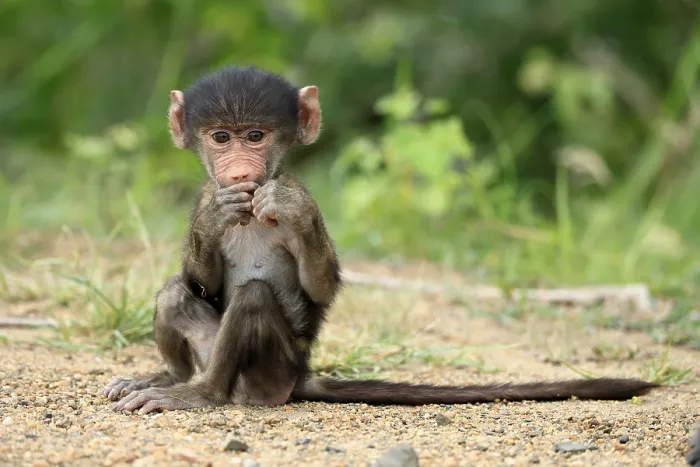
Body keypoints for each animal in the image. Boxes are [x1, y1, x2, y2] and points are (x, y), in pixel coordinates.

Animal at [99, 65, 659, 415]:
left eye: (255, 136)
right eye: (221, 137)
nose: (239, 172)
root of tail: (302, 375)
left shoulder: (300, 194)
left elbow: (319, 284)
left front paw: (288, 213)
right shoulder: (203, 195)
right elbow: (200, 280)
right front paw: (218, 217)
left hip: (269, 375)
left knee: (253, 298)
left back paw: (203, 395)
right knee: (175, 291)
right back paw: (170, 378)